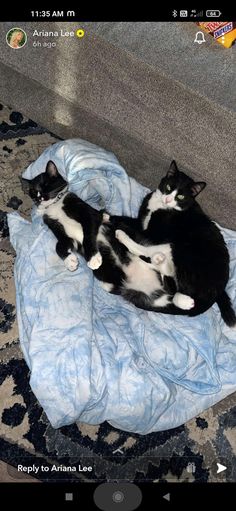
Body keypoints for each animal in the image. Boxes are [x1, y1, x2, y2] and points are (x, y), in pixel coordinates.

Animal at [115, 161, 236, 328]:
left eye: (180, 196)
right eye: (168, 187)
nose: (167, 199)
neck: (161, 206)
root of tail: (215, 292)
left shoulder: (153, 234)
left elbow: (135, 232)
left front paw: (116, 224)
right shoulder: (141, 222)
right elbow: (129, 220)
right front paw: (106, 214)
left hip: (181, 249)